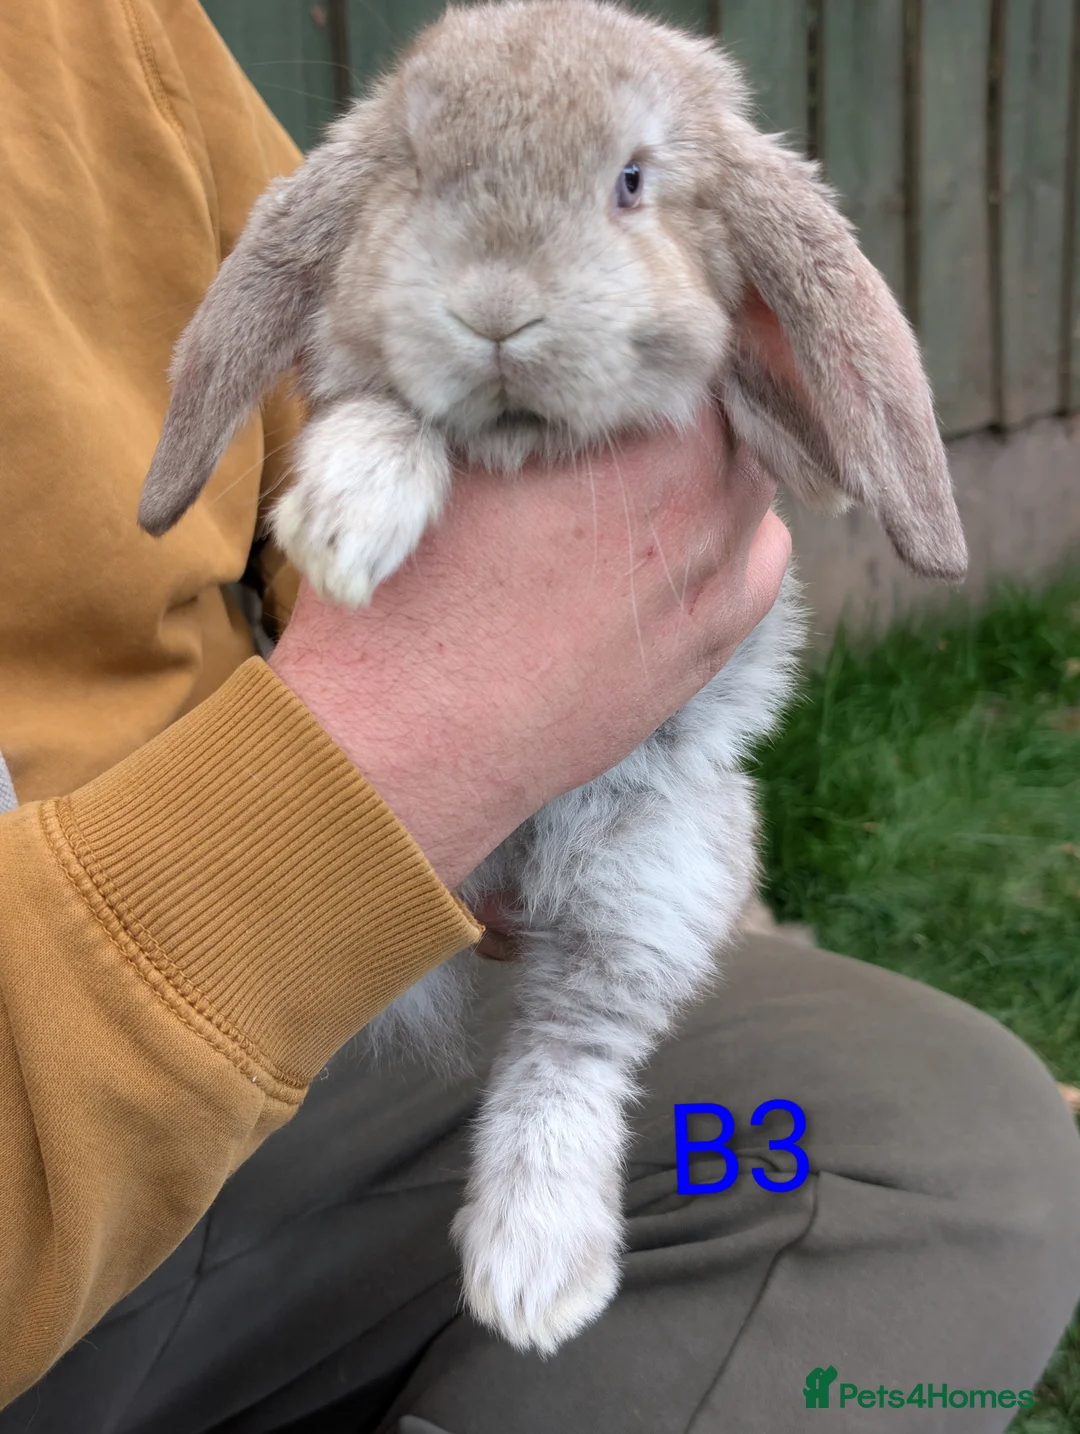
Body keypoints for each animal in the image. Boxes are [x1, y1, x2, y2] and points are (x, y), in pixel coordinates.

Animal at [138, 0, 967, 1356]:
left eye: (632, 181)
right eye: (416, 172)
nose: (495, 309)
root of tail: (488, 905)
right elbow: (386, 408)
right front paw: (348, 521)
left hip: (654, 871)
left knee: (572, 1048)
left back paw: (535, 1276)